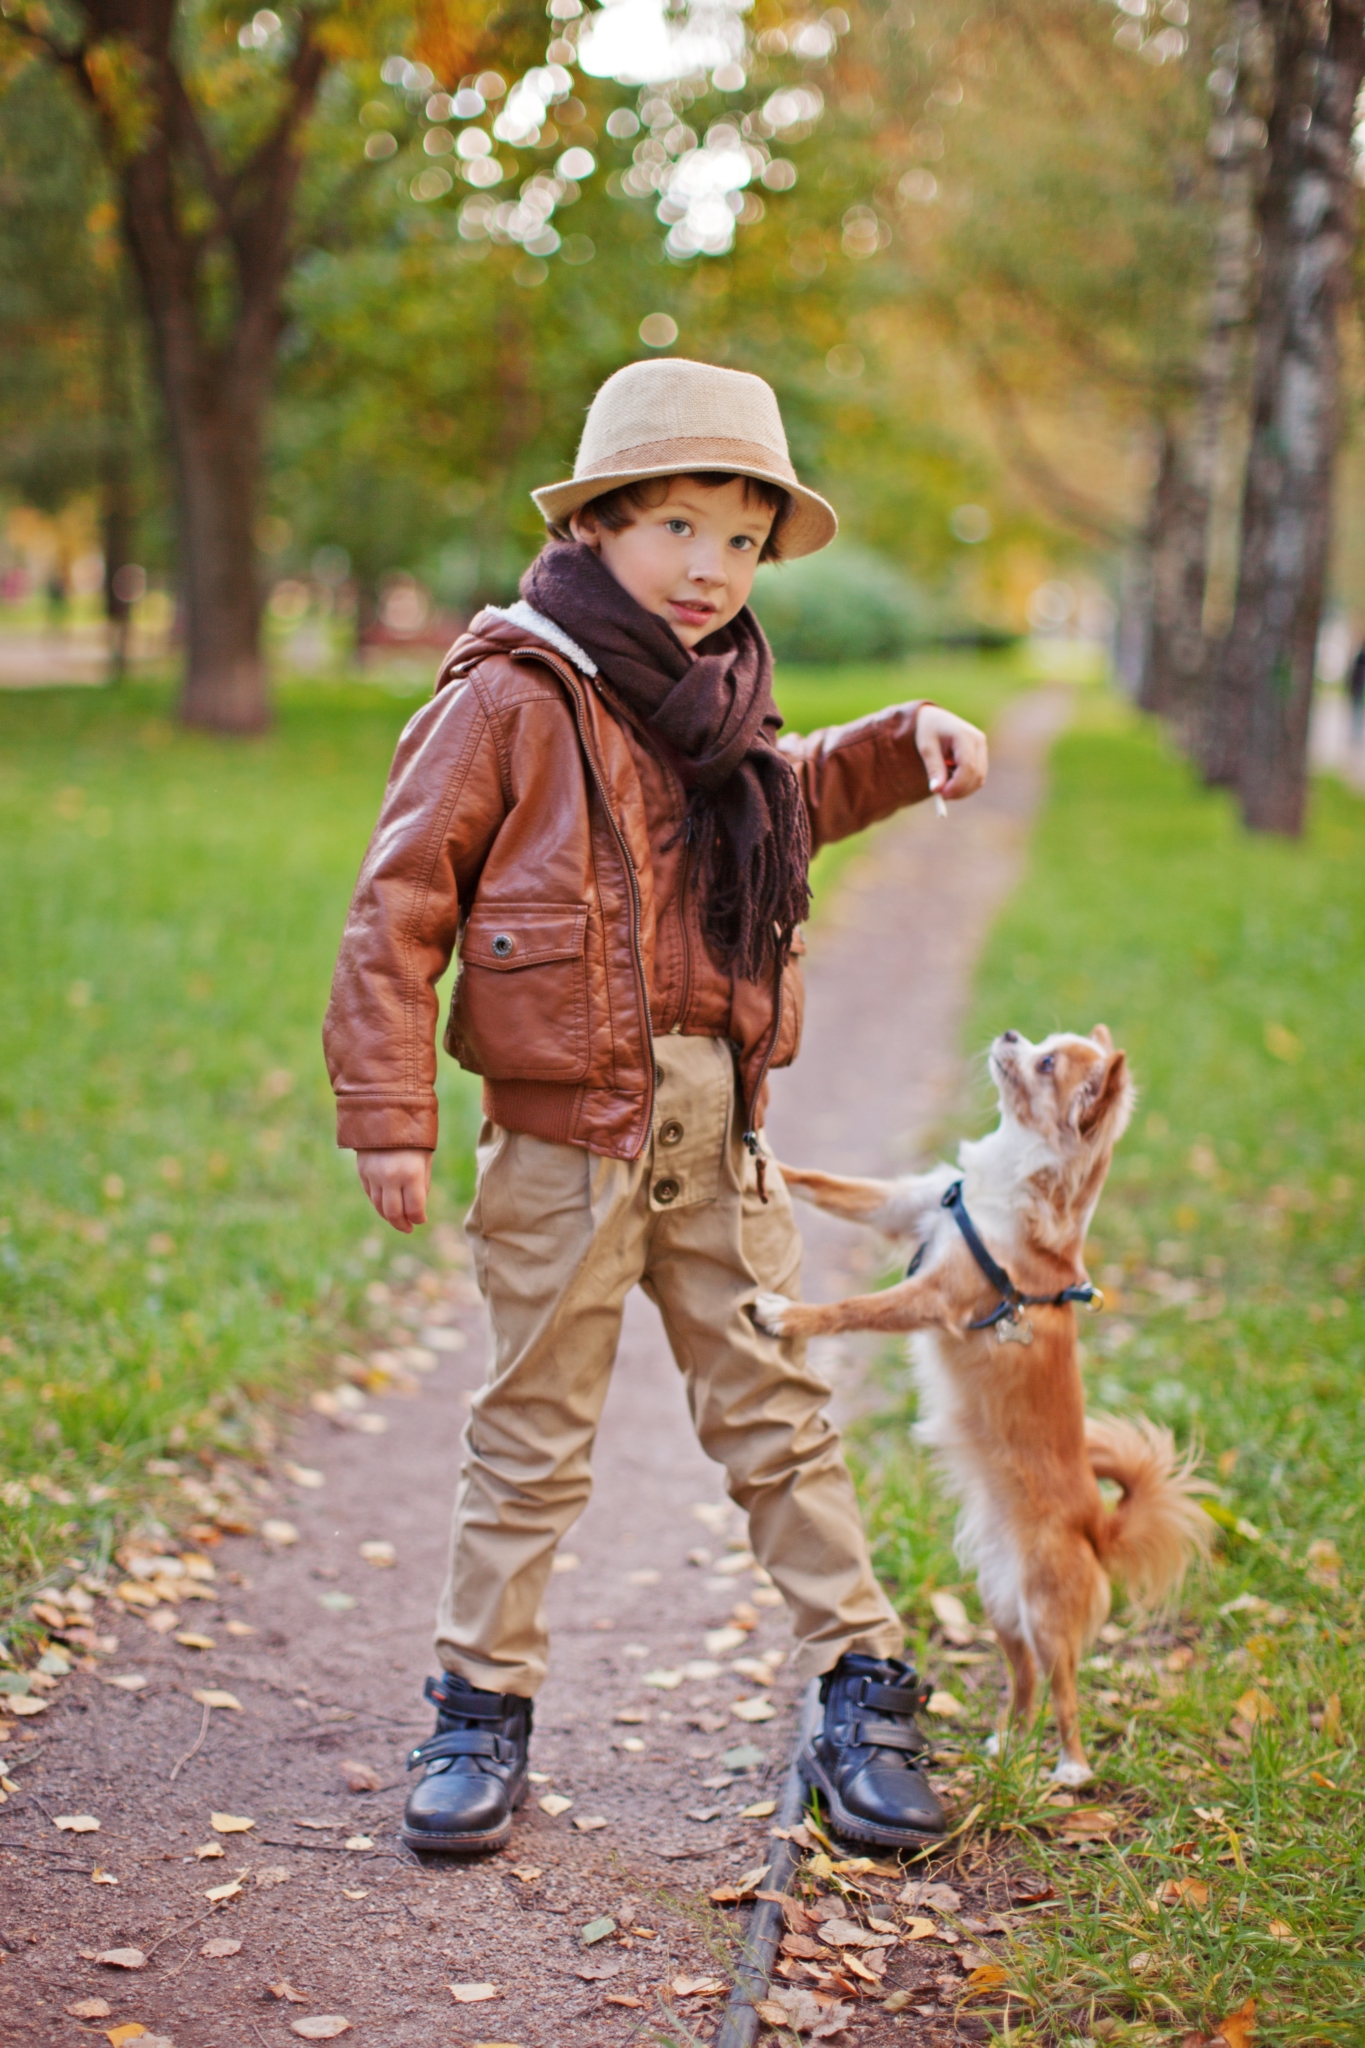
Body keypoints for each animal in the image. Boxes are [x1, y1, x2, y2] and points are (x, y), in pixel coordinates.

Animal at [757, 1032, 1219, 1785]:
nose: (1009, 1036)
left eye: (1046, 1065)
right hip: (1001, 1606)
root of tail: (1097, 1525)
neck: (994, 1186)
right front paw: (764, 1153)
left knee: (1064, 1687)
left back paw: (1069, 1769)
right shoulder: (905, 1205)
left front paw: (788, 1315)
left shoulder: (934, 1296)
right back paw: (1007, 1743)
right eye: (1042, 1043)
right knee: (1024, 1679)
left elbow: (851, 1308)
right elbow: (827, 1183)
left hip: (1046, 1609)